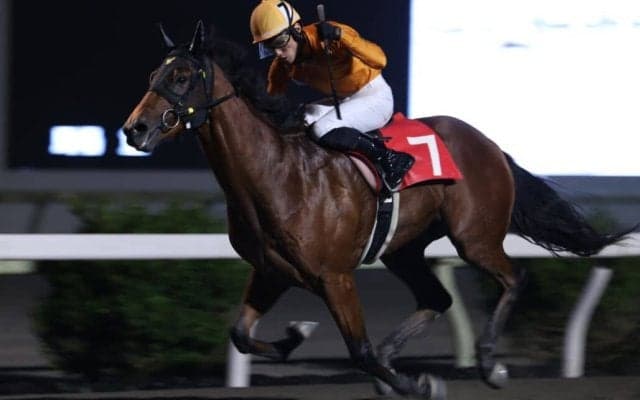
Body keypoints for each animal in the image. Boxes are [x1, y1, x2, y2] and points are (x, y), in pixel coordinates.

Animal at [123, 22, 632, 398]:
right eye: (152, 77)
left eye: (181, 77)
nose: (134, 129)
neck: (276, 173)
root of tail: (488, 144)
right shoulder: (272, 271)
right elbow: (241, 334)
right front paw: (296, 335)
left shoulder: (335, 276)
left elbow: (360, 350)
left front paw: (417, 383)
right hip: (403, 247)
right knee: (437, 298)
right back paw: (401, 357)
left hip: (475, 236)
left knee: (514, 278)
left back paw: (489, 363)